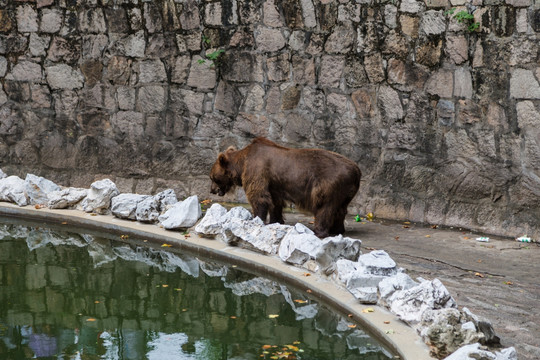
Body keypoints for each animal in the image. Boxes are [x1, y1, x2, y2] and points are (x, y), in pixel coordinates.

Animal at [209, 136, 360, 238]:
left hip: (328, 183)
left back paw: (319, 231)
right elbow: (275, 202)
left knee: (324, 206)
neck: (241, 165)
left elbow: (259, 197)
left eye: (212, 177)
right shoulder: (274, 183)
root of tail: (356, 170)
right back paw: (337, 229)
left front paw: (257, 218)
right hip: (345, 190)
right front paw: (276, 220)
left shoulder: (257, 170)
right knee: (340, 208)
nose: (212, 190)